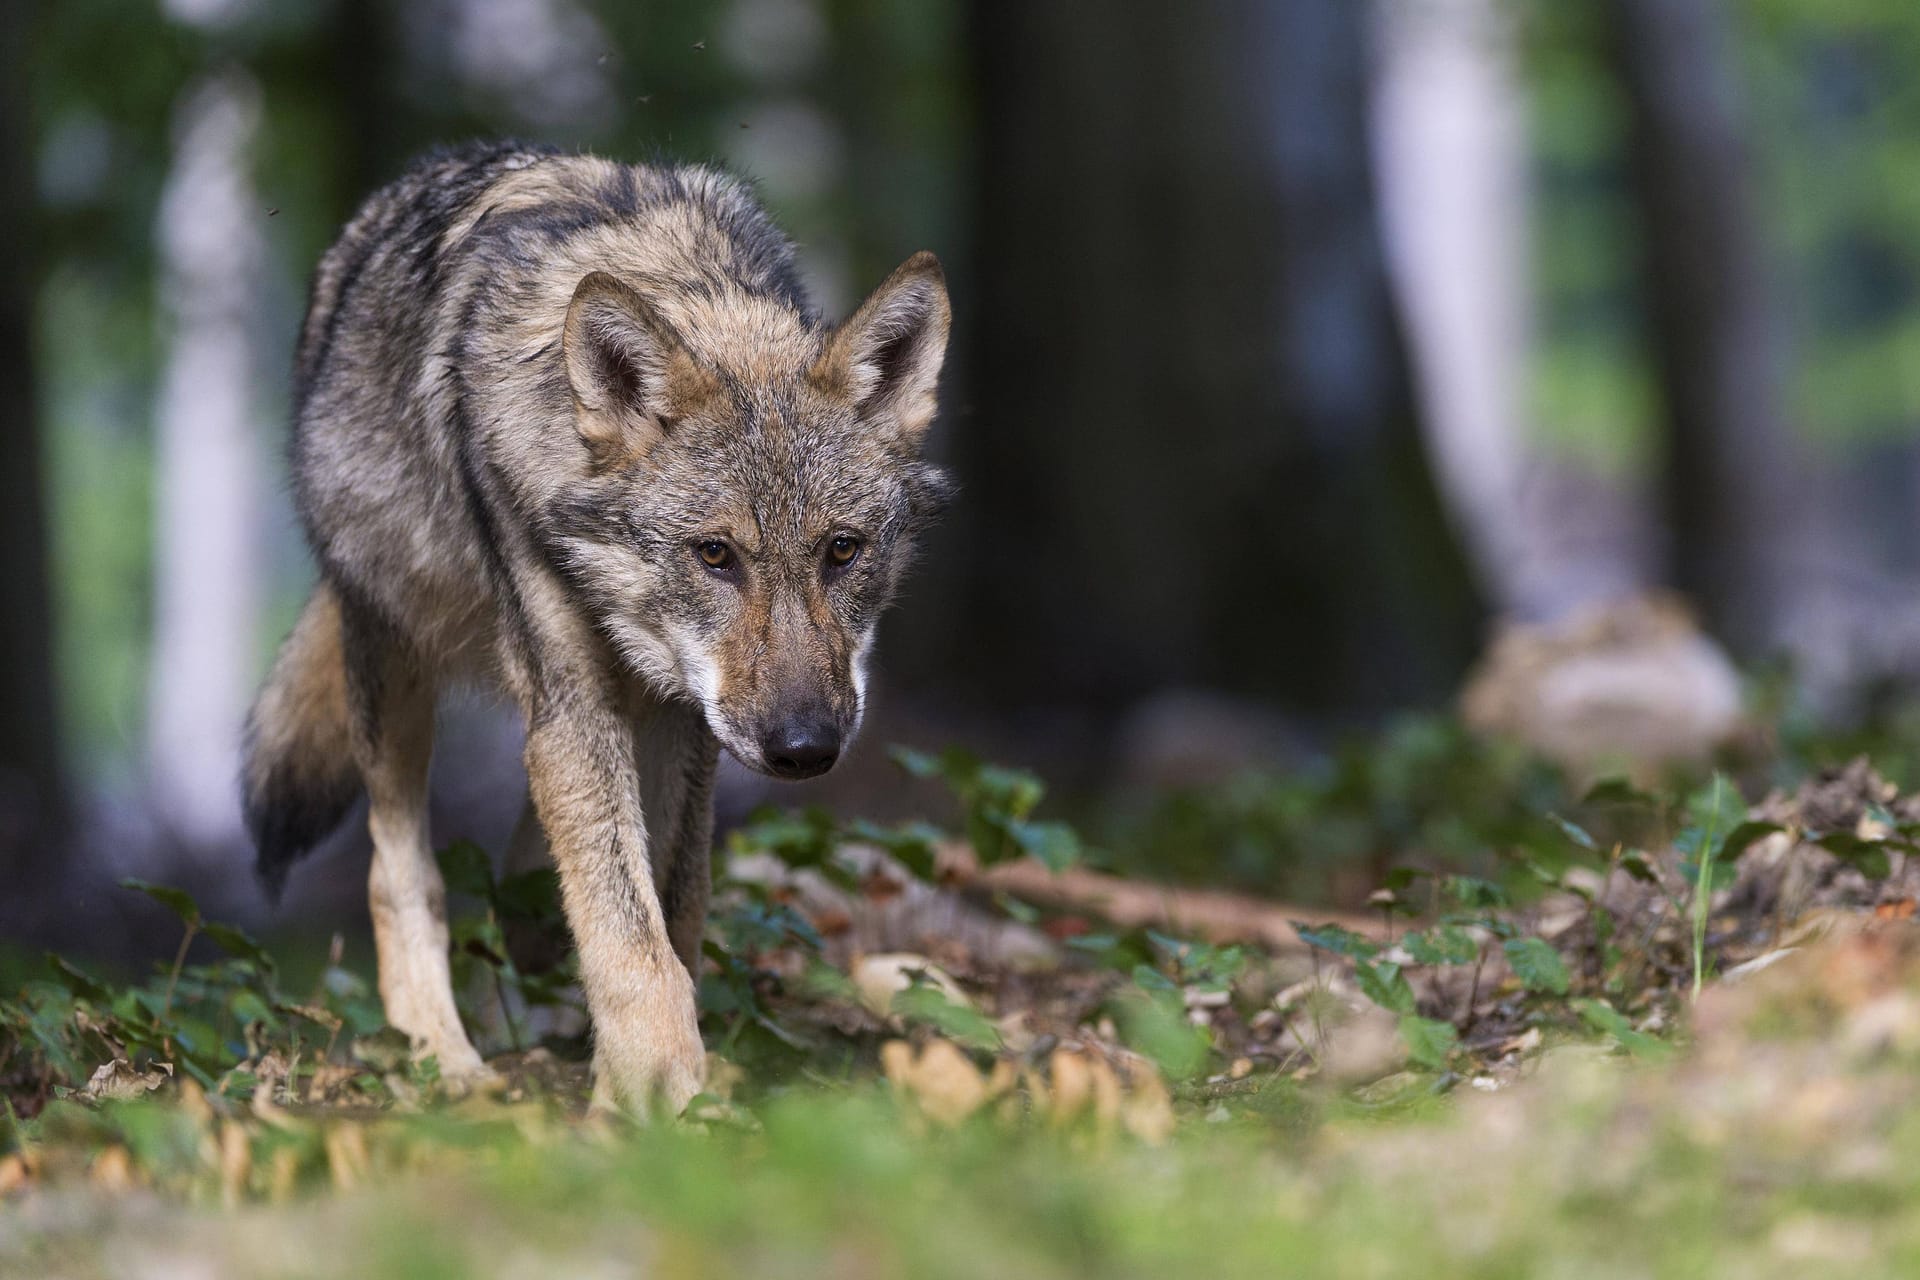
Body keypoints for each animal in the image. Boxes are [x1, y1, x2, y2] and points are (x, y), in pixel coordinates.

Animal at [240, 142, 952, 1113]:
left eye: (842, 551)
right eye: (715, 555)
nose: (805, 749)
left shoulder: (685, 721)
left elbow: (668, 913)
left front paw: (640, 1087)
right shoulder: (574, 703)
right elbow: (629, 938)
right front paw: (660, 1099)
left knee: (526, 888)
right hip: (397, 667)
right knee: (401, 873)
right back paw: (444, 1059)